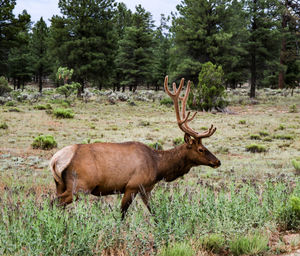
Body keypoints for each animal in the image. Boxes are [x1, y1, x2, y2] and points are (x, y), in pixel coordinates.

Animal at [49, 75, 220, 218]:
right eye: (201, 149)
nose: (217, 161)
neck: (158, 166)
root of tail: (55, 160)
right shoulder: (132, 186)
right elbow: (122, 214)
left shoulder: (146, 189)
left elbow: (154, 212)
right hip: (79, 186)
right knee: (54, 202)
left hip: (60, 184)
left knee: (55, 202)